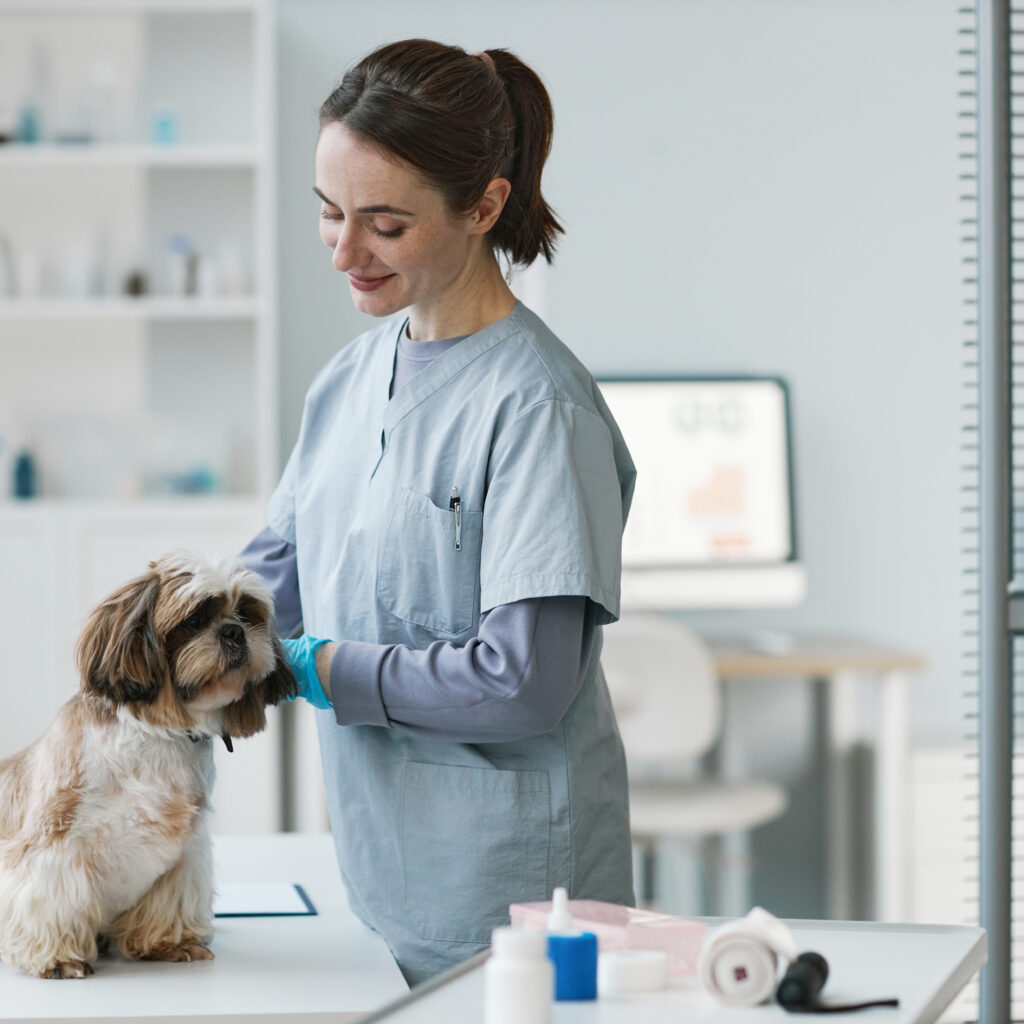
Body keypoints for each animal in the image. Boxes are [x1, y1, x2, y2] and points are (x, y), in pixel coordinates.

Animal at [0, 552, 296, 974]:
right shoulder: (55, 842)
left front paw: (169, 944)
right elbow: (52, 898)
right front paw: (58, 957)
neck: (161, 737)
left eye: (245, 613)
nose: (234, 632)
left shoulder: (185, 857)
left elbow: (168, 902)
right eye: (194, 620)